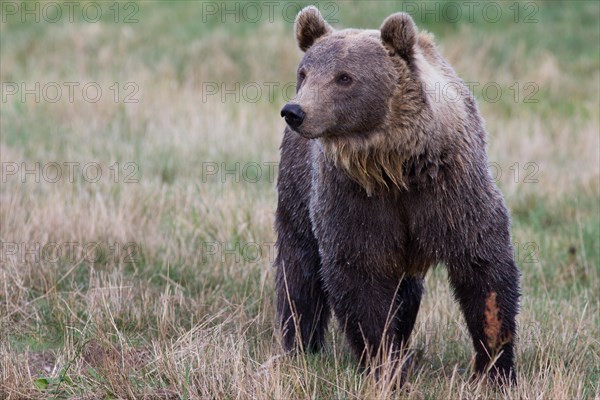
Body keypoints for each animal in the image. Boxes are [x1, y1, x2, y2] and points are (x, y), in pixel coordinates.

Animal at [274, 6, 516, 386]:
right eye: (304, 72)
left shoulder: (451, 190)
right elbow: (360, 274)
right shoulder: (352, 197)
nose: (295, 111)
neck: (394, 166)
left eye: (344, 77)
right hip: (297, 187)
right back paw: (301, 344)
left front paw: (495, 367)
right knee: (299, 268)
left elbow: (483, 266)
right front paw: (383, 363)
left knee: (405, 290)